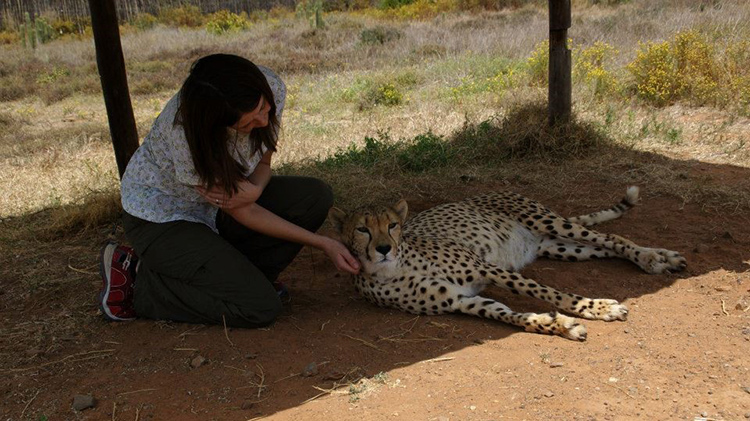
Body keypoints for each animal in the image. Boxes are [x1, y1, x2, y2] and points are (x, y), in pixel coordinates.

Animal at [328, 186, 686, 341]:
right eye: (362, 229)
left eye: (392, 225)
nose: (384, 248)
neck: (393, 267)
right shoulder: (461, 300)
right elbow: (511, 316)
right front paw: (558, 325)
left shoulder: (486, 269)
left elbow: (553, 293)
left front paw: (595, 308)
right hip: (559, 246)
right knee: (602, 247)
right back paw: (660, 257)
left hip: (549, 222)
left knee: (611, 237)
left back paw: (653, 257)